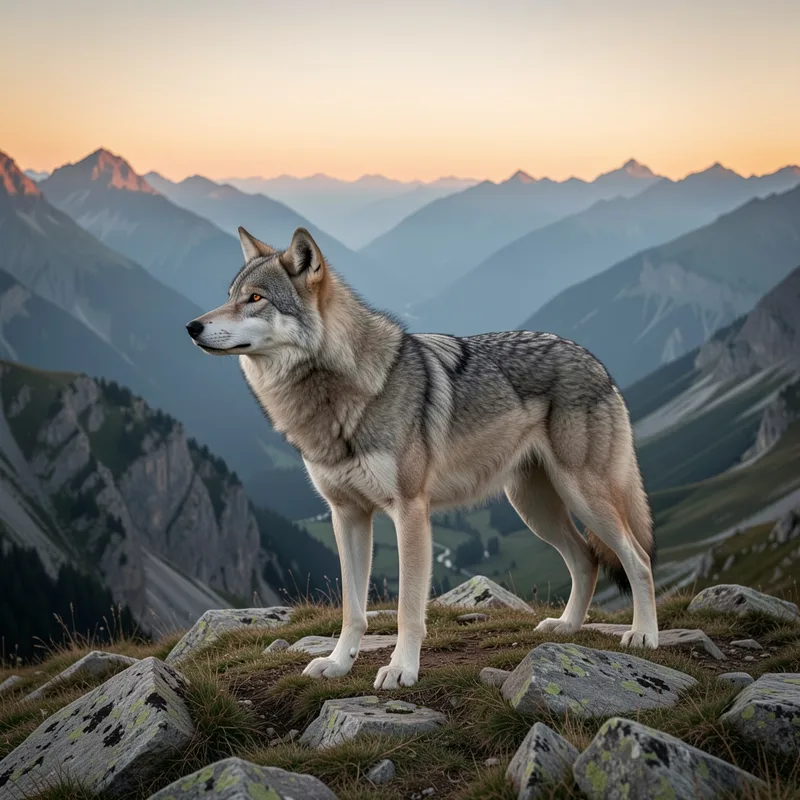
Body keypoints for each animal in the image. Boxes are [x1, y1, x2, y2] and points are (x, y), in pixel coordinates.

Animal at [185, 226, 658, 689]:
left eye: (256, 298)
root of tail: (595, 360)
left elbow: (407, 609)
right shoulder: (347, 515)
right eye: (230, 295)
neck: (339, 395)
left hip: (583, 497)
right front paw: (337, 664)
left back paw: (643, 635)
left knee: (638, 559)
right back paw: (567, 627)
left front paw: (401, 669)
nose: (191, 326)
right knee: (586, 560)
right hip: (533, 508)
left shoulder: (410, 511)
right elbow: (352, 609)